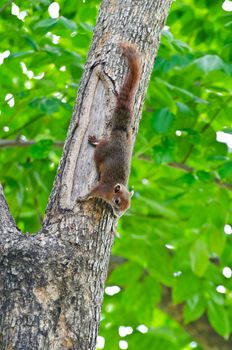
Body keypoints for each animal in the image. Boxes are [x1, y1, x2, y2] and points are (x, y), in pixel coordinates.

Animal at [87, 43, 141, 216]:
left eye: (127, 206)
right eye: (117, 201)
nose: (118, 215)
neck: (112, 189)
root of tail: (120, 134)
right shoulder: (101, 188)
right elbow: (91, 193)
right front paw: (82, 199)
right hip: (103, 150)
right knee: (100, 146)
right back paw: (94, 141)